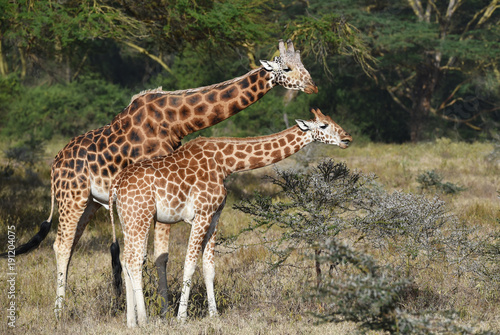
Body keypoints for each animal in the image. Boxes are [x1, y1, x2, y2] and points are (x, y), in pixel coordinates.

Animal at [3, 39, 316, 318]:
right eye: (287, 68)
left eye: (305, 65)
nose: (312, 86)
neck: (177, 120)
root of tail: (54, 164)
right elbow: (158, 256)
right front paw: (164, 312)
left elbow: (159, 256)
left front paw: (163, 310)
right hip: (72, 197)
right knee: (61, 245)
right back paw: (59, 312)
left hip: (89, 203)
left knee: (69, 247)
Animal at [109, 108, 352, 328]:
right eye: (323, 126)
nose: (347, 139)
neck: (226, 163)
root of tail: (116, 184)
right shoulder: (202, 213)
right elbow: (189, 264)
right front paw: (181, 318)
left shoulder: (215, 215)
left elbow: (209, 267)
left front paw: (214, 315)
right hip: (141, 216)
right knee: (134, 261)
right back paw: (144, 320)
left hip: (128, 220)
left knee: (127, 260)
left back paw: (131, 322)